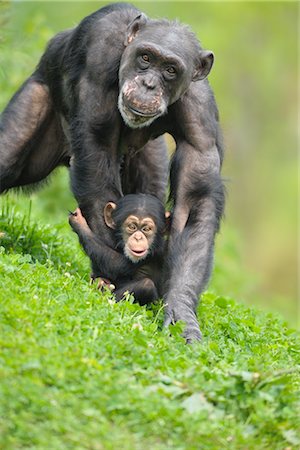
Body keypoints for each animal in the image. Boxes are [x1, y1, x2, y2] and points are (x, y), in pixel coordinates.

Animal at [0, 2, 225, 342]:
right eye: (146, 58)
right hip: (38, 98)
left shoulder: (200, 114)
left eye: (170, 70)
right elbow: (97, 153)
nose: (148, 84)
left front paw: (180, 310)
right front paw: (113, 275)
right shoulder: (98, 57)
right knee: (8, 156)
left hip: (148, 155)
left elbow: (194, 203)